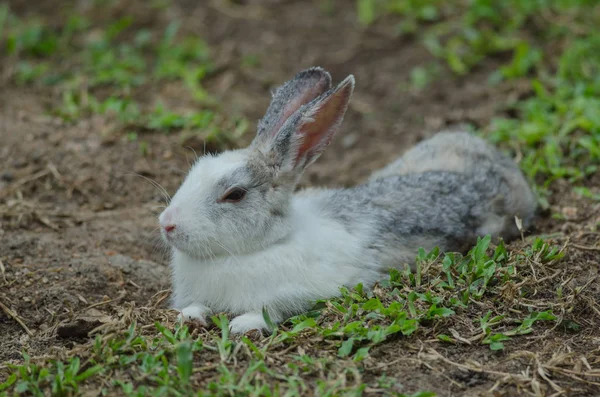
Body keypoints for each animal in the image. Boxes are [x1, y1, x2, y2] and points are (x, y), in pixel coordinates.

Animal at [157, 66, 536, 332]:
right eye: (194, 170)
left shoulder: (302, 293)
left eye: (234, 194)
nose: (167, 225)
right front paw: (190, 317)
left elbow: (272, 311)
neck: (264, 245)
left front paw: (243, 325)